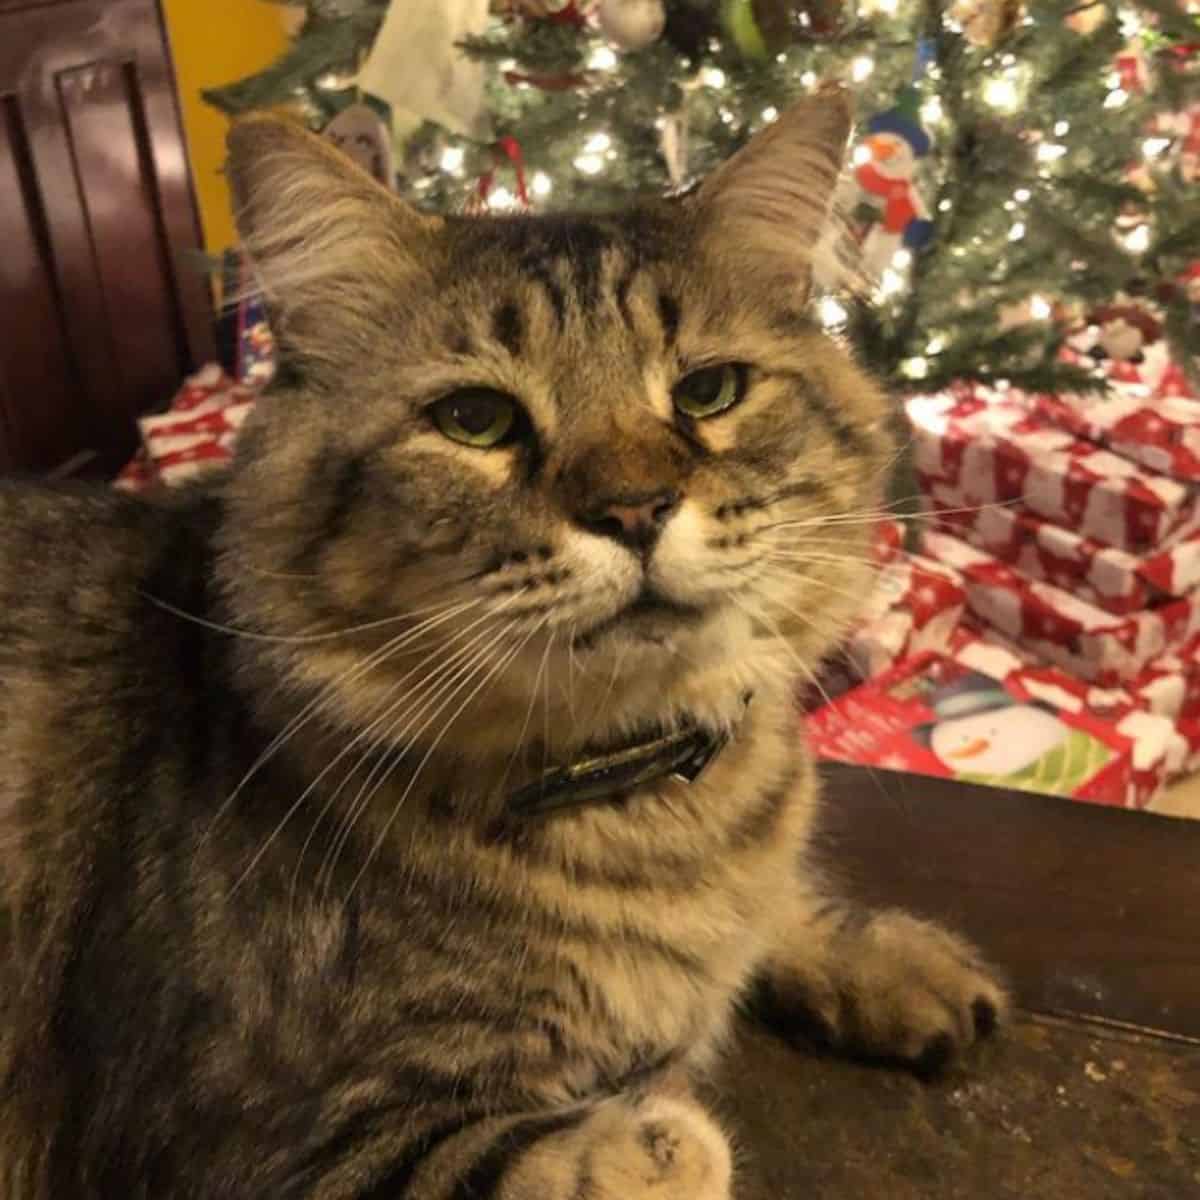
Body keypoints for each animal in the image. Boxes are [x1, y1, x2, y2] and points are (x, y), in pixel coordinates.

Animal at [0, 87, 1008, 1200]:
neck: (649, 804)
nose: (636, 510)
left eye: (708, 392)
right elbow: (567, 1160)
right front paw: (657, 1132)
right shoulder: (243, 1143)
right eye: (475, 419)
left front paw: (890, 962)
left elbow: (784, 904)